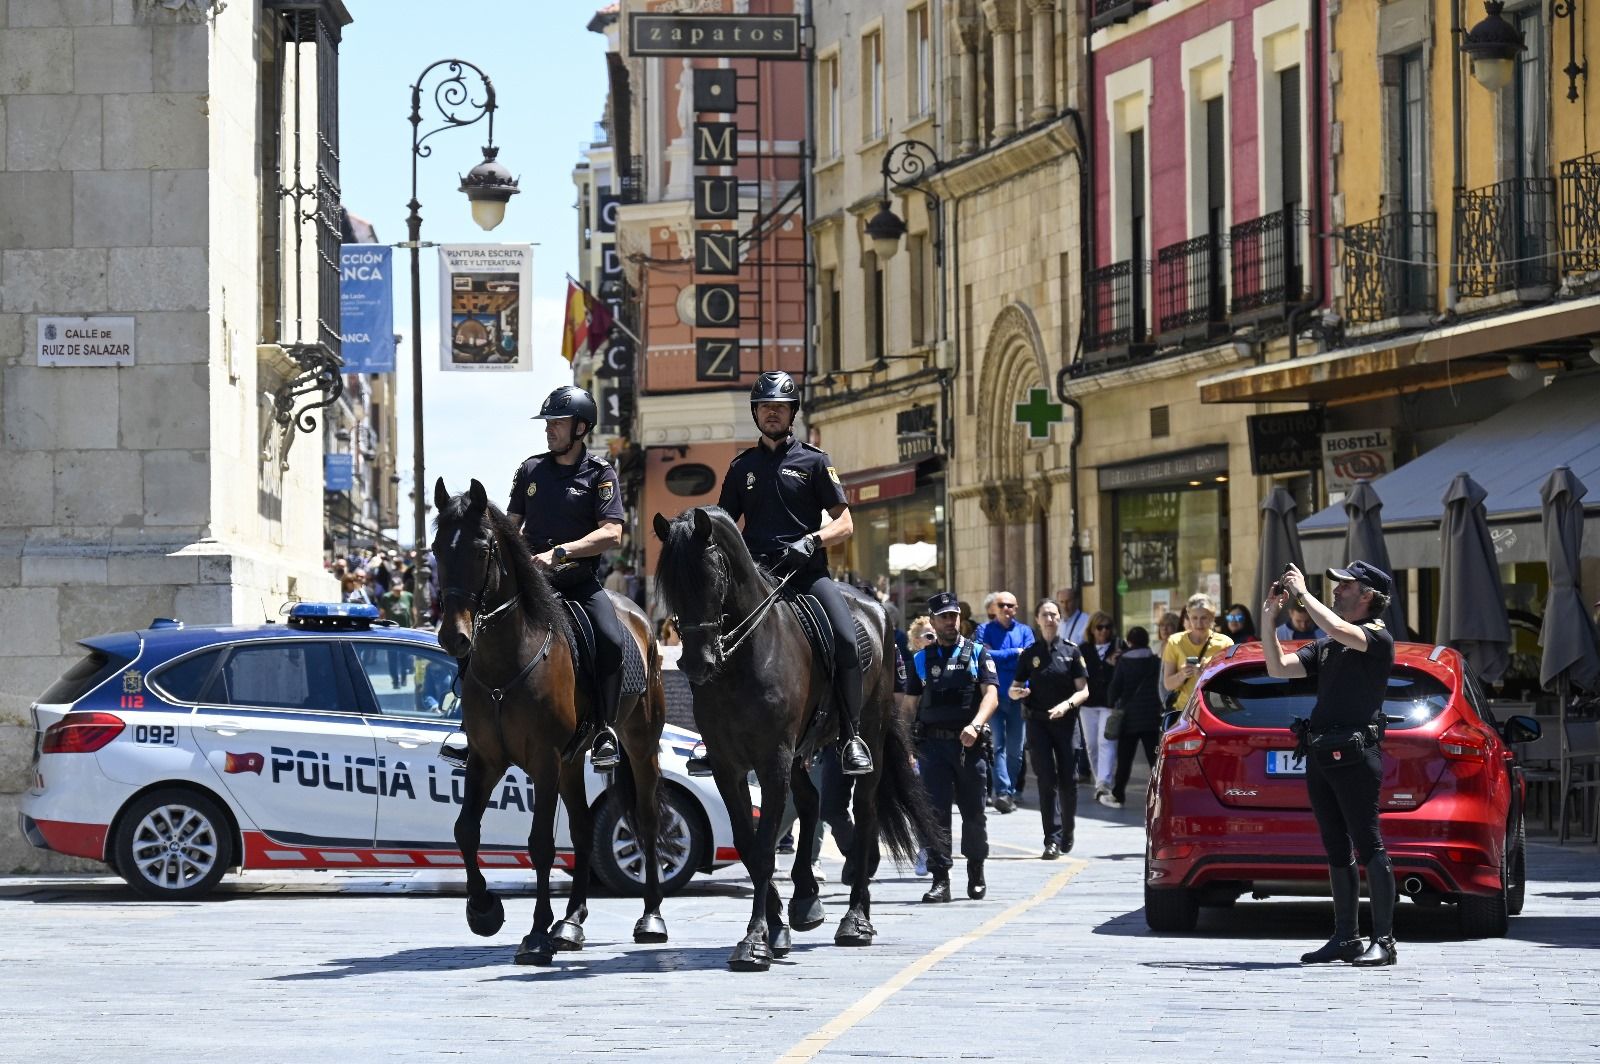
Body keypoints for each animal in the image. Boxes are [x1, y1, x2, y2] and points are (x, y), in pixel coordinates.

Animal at [428, 480, 665, 960]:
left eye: (480, 550)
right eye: (437, 549)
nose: (453, 637)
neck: (508, 661)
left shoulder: (544, 760)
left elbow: (540, 842)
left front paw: (536, 933)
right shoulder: (486, 760)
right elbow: (465, 830)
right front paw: (483, 910)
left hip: (639, 744)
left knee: (647, 818)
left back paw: (650, 916)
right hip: (572, 763)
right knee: (583, 828)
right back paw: (571, 923)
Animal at [646, 505, 934, 972]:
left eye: (710, 575)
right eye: (670, 582)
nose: (695, 662)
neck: (743, 660)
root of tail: (876, 608)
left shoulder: (772, 760)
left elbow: (765, 849)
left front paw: (754, 941)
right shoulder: (728, 766)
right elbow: (748, 845)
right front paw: (776, 925)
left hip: (864, 733)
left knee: (865, 813)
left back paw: (856, 920)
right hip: (802, 751)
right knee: (812, 803)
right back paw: (806, 903)